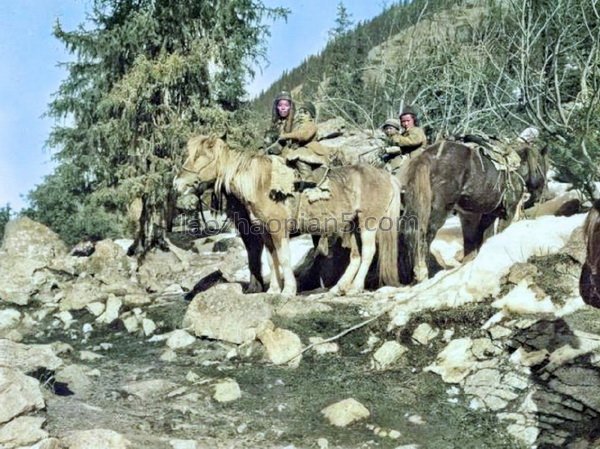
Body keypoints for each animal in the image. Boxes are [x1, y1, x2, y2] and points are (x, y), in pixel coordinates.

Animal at [175, 135, 404, 296]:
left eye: (199, 156)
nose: (177, 184)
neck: (262, 183)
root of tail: (386, 176)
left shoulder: (278, 229)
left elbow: (284, 258)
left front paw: (288, 290)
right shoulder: (265, 233)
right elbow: (271, 259)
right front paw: (273, 290)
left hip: (368, 223)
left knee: (368, 253)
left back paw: (355, 287)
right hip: (351, 225)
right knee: (355, 256)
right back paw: (338, 288)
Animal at [398, 138, 548, 282]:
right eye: (543, 167)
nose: (542, 194)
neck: (517, 170)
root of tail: (427, 155)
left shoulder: (479, 215)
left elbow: (477, 240)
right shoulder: (507, 212)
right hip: (439, 210)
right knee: (425, 234)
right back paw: (422, 272)